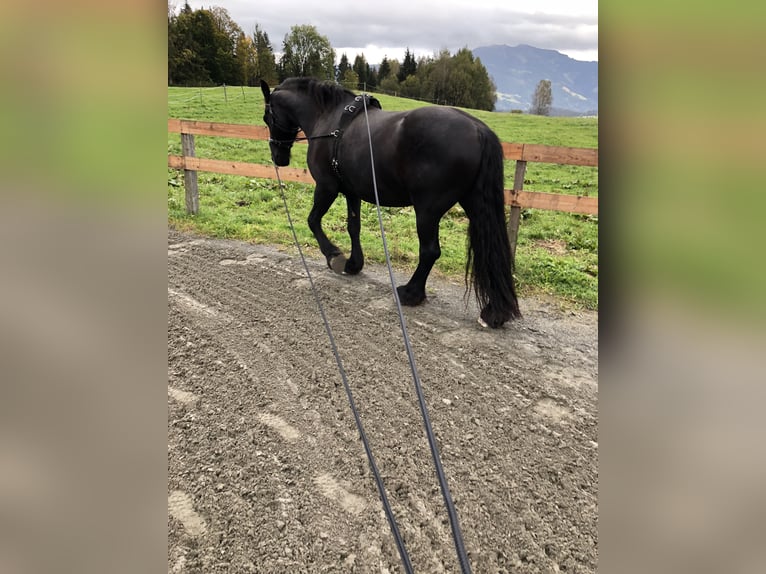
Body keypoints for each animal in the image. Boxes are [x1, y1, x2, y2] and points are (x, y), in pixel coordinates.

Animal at [260, 77, 521, 328]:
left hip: (427, 211)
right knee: (489, 252)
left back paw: (410, 293)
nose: (278, 157)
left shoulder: (326, 187)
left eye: (267, 117)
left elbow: (313, 221)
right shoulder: (352, 192)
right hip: (475, 206)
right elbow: (353, 227)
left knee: (430, 251)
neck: (329, 120)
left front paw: (334, 256)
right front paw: (353, 264)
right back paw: (494, 311)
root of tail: (478, 129)